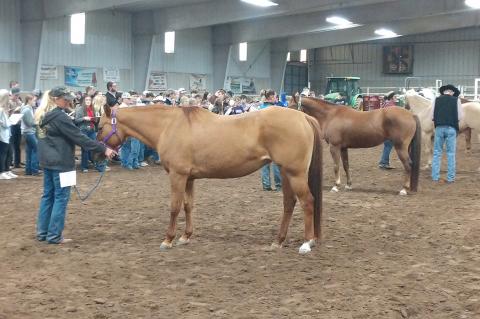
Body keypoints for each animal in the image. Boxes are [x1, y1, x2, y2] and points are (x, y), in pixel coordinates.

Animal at [95, 105, 322, 255]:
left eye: (99, 127)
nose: (99, 155)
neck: (169, 126)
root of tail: (303, 117)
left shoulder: (177, 175)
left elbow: (174, 207)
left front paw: (168, 240)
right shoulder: (189, 178)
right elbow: (188, 205)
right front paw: (185, 236)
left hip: (295, 173)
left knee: (307, 202)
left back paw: (306, 243)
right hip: (285, 172)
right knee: (289, 203)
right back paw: (279, 241)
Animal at [288, 95, 420, 195]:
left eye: (292, 106)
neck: (331, 115)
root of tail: (411, 114)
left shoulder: (334, 147)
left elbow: (336, 166)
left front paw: (336, 186)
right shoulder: (343, 148)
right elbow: (346, 166)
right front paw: (348, 185)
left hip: (400, 147)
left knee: (408, 165)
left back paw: (403, 190)